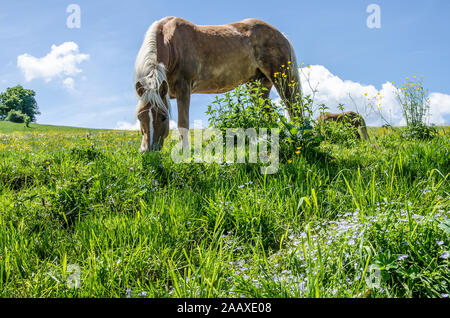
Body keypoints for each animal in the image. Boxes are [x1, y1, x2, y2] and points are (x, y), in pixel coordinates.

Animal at [134, 16, 302, 153]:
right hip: (258, 85)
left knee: (294, 109)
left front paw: (184, 152)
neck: (172, 43)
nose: (148, 151)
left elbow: (183, 123)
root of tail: (281, 35)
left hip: (282, 79)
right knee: (267, 114)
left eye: (163, 117)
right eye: (140, 117)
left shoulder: (184, 89)